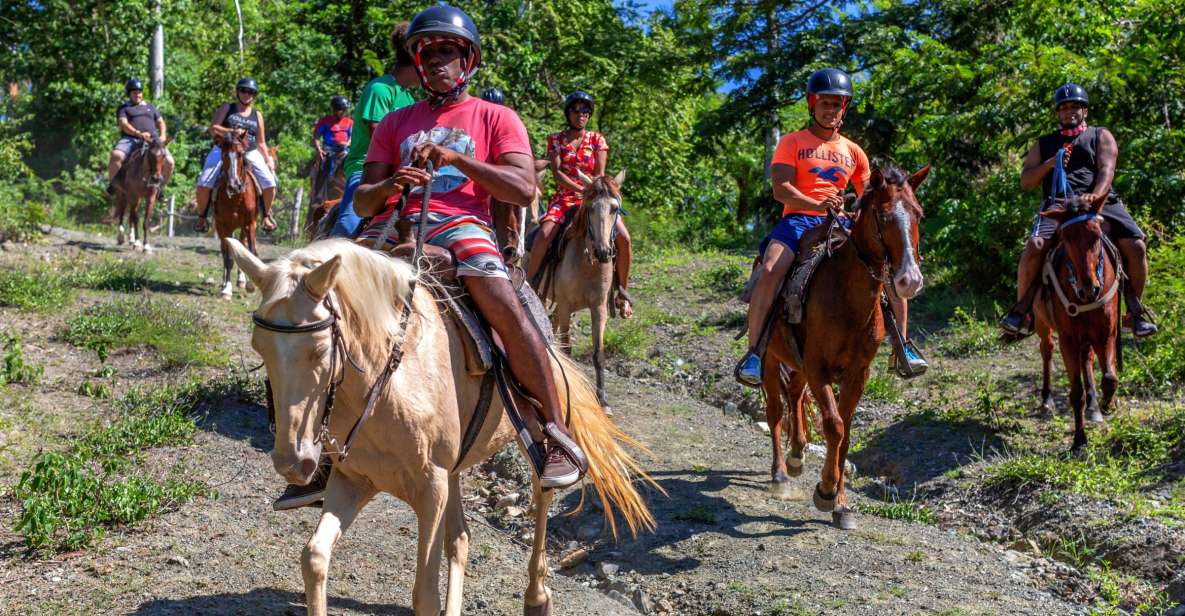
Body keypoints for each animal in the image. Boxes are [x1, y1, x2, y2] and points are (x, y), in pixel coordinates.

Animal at [218, 236, 654, 616]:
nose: (293, 462)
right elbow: (315, 558)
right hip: (453, 471)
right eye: (259, 347)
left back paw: (537, 596)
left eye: (321, 349)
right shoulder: (353, 481)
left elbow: (424, 595)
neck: (391, 380)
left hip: (533, 441)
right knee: (460, 539)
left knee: (542, 501)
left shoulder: (431, 490)